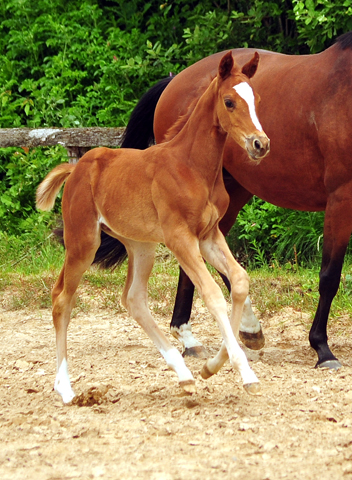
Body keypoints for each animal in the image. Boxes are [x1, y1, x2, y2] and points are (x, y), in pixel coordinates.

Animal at [36, 52, 270, 404]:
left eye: (256, 100)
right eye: (229, 102)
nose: (260, 144)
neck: (192, 166)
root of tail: (76, 169)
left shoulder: (208, 236)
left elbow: (239, 281)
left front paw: (211, 367)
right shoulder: (180, 238)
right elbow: (213, 294)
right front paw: (246, 374)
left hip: (141, 245)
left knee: (133, 299)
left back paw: (185, 375)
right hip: (83, 242)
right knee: (62, 297)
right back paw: (64, 387)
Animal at [93, 31, 352, 370]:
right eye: (230, 102)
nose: (261, 143)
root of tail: (176, 80)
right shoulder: (340, 198)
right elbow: (330, 276)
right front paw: (322, 349)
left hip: (230, 193)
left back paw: (226, 333)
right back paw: (215, 335)